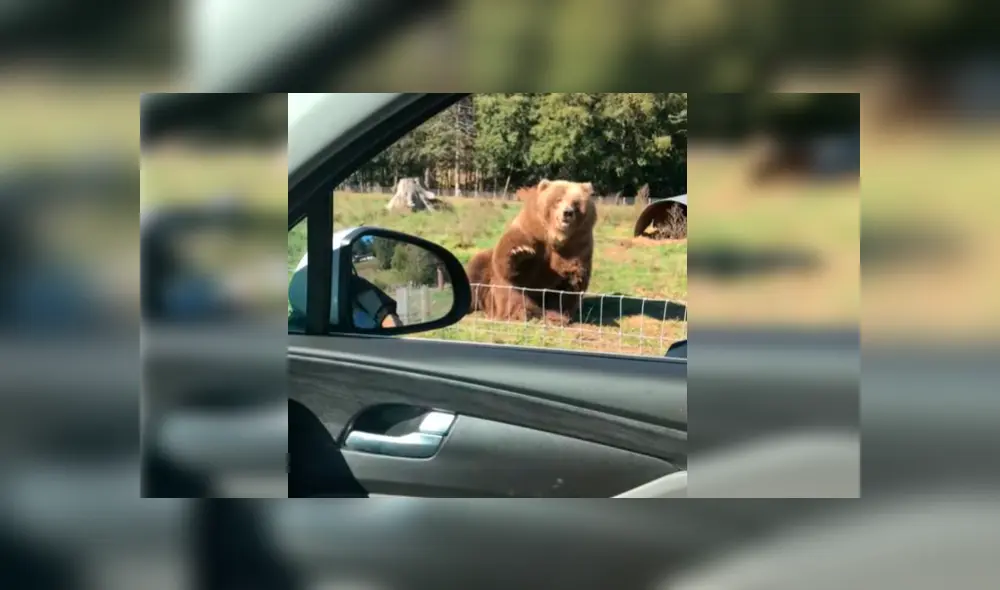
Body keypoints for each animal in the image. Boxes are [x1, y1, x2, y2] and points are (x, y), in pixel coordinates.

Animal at [466, 179, 597, 324]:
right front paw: (519, 252)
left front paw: (558, 316)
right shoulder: (531, 231)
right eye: (558, 200)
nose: (567, 212)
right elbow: (511, 265)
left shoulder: (577, 247)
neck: (555, 237)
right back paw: (520, 312)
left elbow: (569, 286)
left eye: (576, 203)